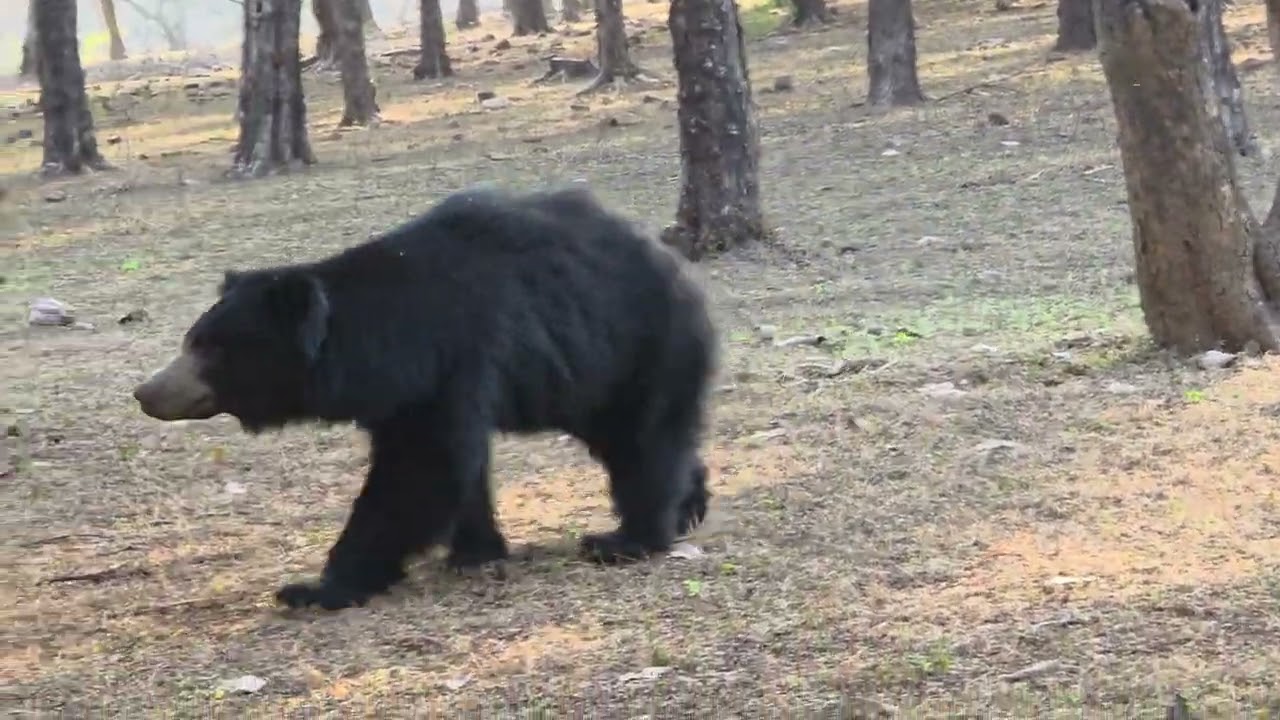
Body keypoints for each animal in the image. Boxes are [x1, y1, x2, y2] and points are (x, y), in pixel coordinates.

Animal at [132, 185, 718, 611]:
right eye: (192, 339)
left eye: (211, 348)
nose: (145, 392)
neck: (382, 344)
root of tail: (679, 267)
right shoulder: (402, 391)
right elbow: (458, 467)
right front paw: (474, 552)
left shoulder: (447, 361)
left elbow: (418, 470)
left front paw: (316, 587)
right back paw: (690, 505)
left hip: (633, 344)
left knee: (640, 439)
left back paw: (627, 539)